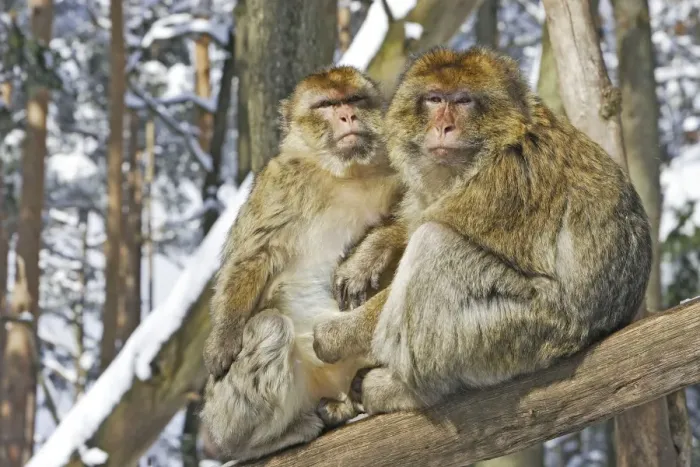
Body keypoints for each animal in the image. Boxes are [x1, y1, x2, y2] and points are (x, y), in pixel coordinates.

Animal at [200, 65, 401, 462]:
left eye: (354, 99)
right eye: (326, 105)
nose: (347, 116)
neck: (345, 174)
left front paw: (368, 256)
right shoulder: (279, 184)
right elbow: (252, 256)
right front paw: (223, 341)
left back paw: (343, 408)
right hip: (227, 413)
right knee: (270, 327)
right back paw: (257, 443)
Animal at [312, 46, 652, 417]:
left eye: (463, 100)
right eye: (434, 98)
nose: (443, 126)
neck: (497, 142)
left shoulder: (499, 186)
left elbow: (432, 230)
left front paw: (338, 334)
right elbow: (418, 217)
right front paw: (370, 253)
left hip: (519, 334)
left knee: (435, 245)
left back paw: (408, 389)